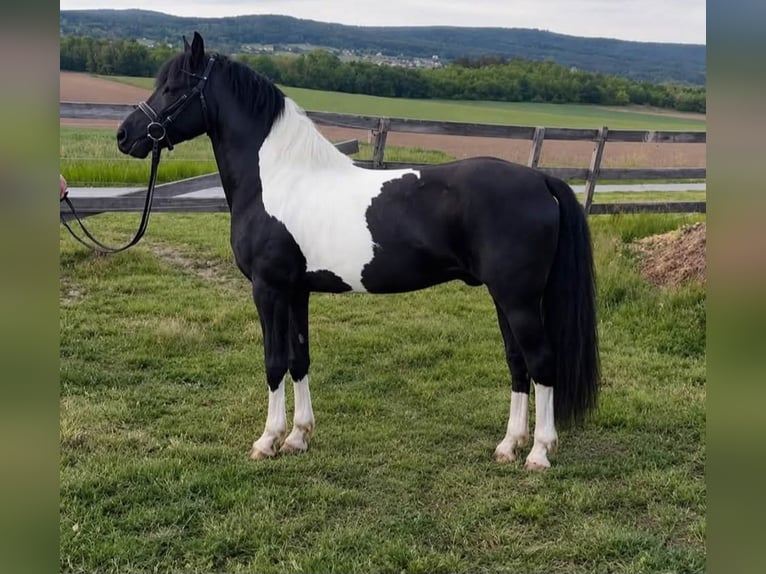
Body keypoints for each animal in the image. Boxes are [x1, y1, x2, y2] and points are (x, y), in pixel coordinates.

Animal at [116, 32, 599, 471]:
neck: (277, 178)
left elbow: (273, 362)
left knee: (541, 364)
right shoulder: (297, 291)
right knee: (518, 365)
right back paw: (508, 446)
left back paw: (538, 453)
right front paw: (298, 437)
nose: (125, 135)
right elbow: (299, 358)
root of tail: (541, 181)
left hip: (518, 300)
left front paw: (267, 440)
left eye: (173, 88)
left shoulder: (268, 289)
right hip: (505, 298)